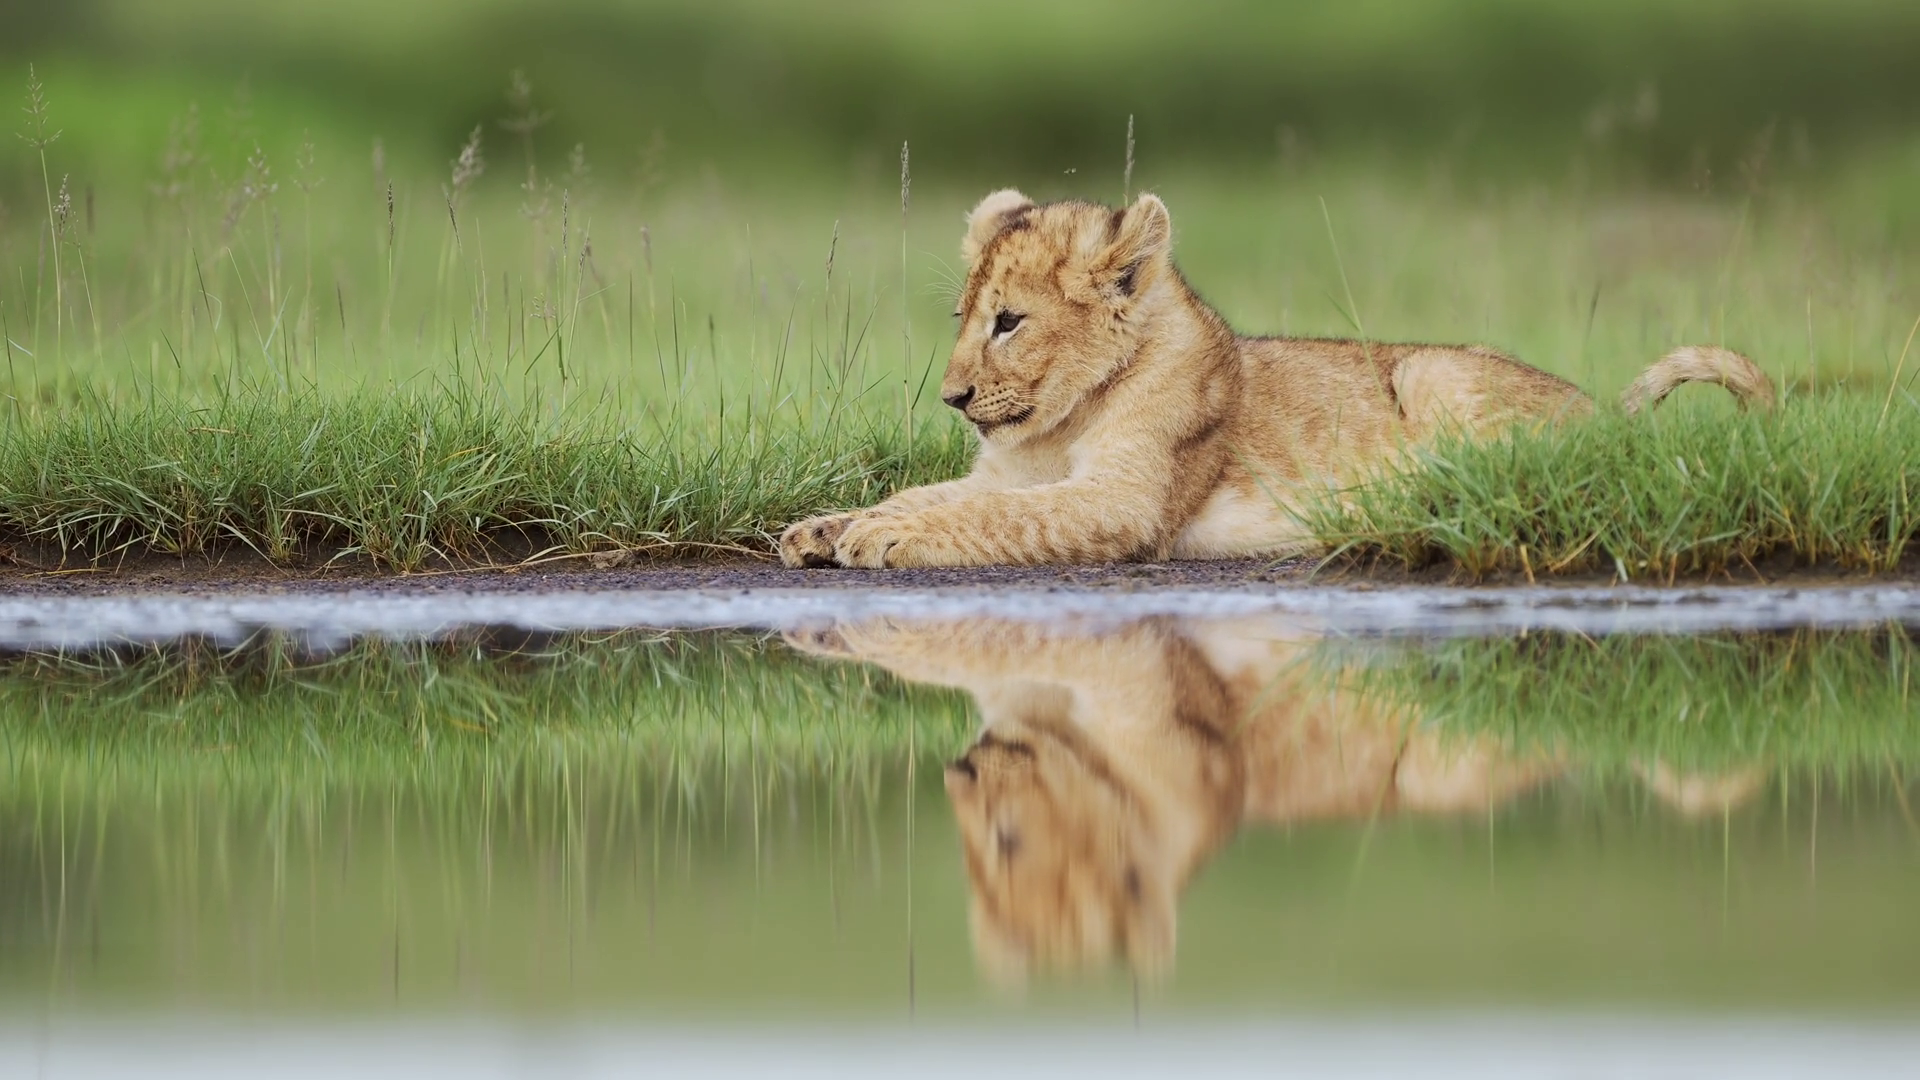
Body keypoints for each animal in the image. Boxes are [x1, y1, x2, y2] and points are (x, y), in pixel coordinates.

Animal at [780, 190, 1772, 568]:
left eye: (1009, 322)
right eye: (963, 318)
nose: (950, 398)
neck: (1061, 421)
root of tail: (1606, 418)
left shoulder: (1124, 502)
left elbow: (990, 516)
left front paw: (882, 540)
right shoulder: (1007, 468)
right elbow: (936, 493)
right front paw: (823, 528)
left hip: (1434, 373)